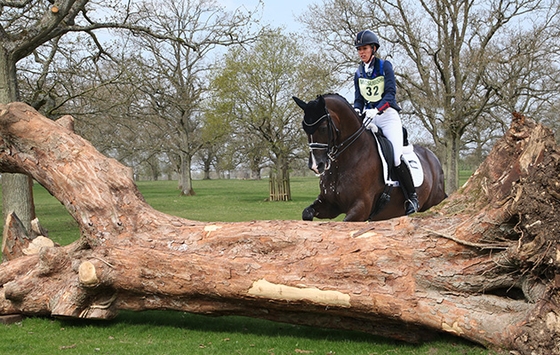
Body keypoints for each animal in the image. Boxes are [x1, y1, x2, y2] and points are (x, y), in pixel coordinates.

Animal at [294, 94, 446, 222]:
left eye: (324, 128)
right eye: (304, 128)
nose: (315, 165)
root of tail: (434, 158)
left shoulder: (361, 208)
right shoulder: (329, 204)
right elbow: (306, 213)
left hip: (434, 201)